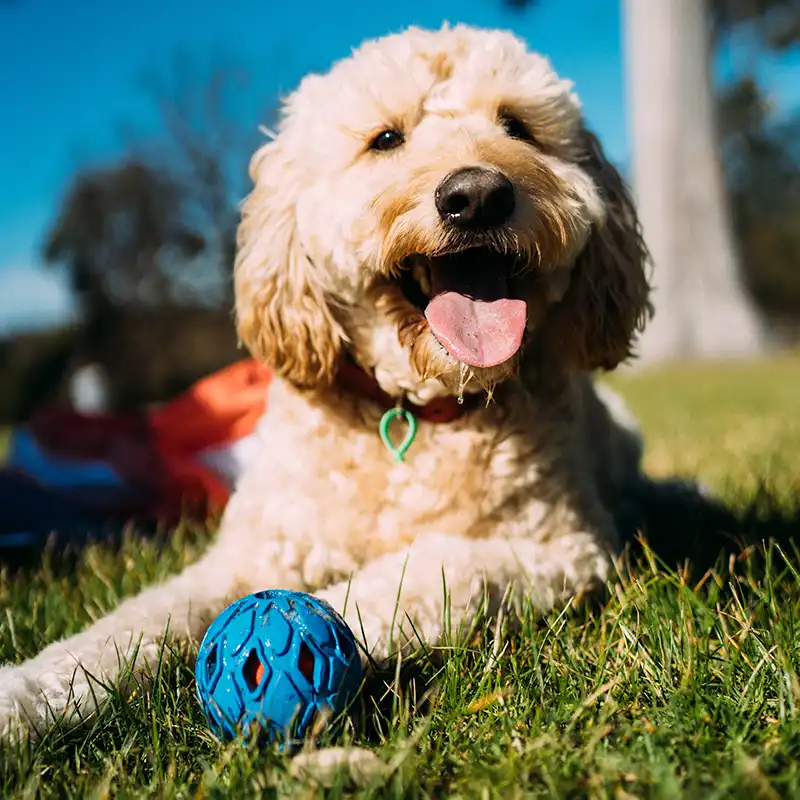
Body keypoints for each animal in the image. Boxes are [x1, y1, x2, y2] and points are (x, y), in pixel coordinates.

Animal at [0, 21, 648, 744]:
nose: (477, 195)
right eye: (386, 139)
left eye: (517, 126)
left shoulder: (563, 549)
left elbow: (421, 574)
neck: (412, 413)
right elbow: (135, 623)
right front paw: (26, 695)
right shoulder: (250, 553)